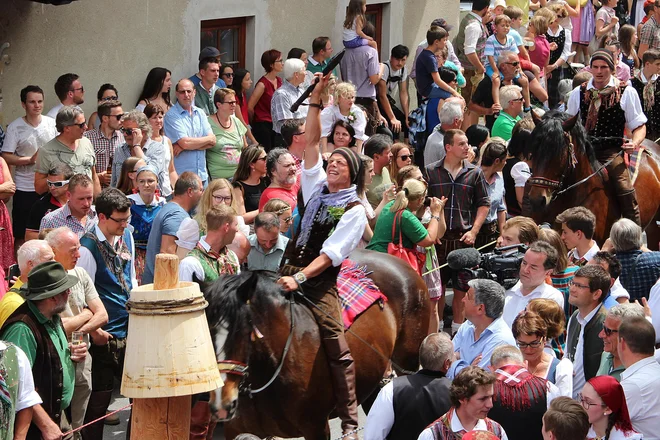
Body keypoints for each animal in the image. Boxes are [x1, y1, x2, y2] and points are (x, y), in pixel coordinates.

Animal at [201, 249, 430, 438]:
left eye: (243, 329)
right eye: (204, 331)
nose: (221, 403)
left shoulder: (316, 427)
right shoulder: (236, 429)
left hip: (407, 361)